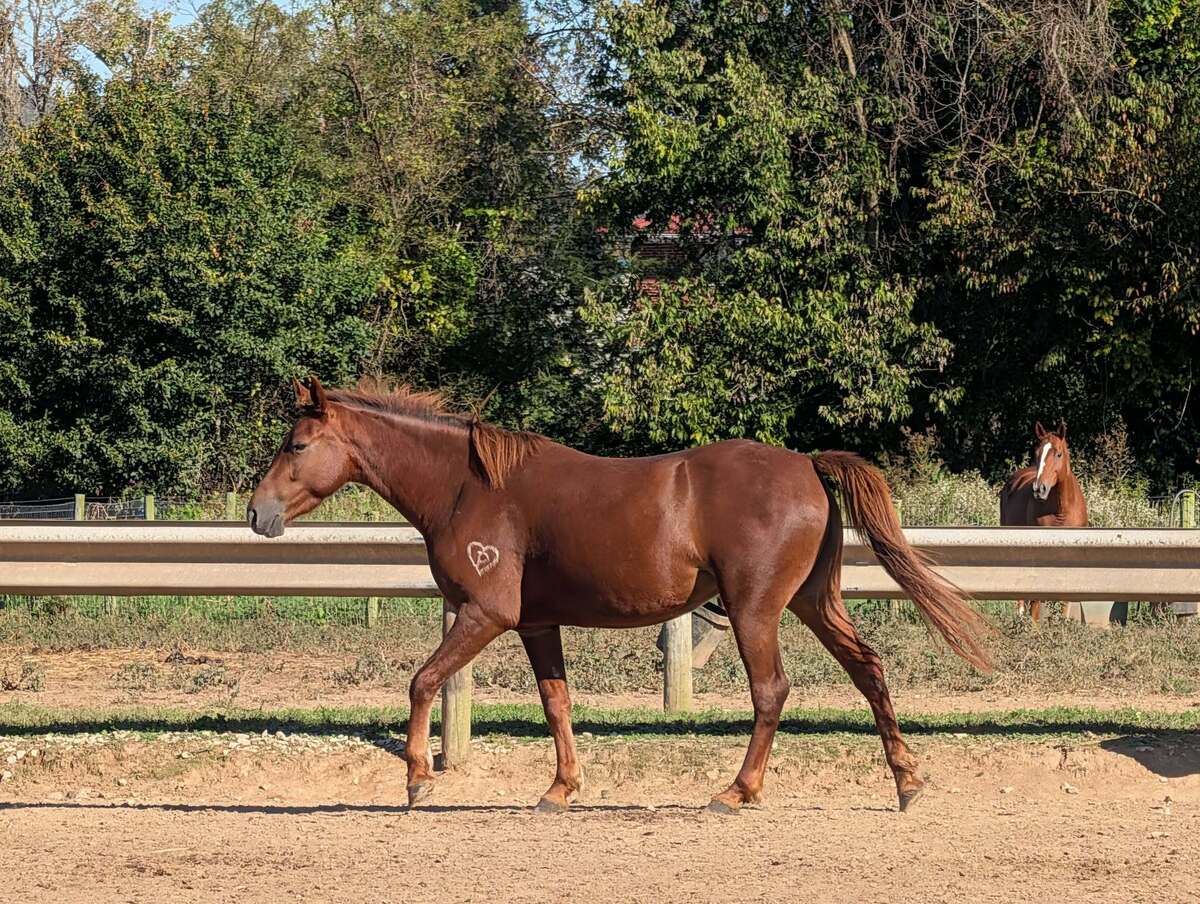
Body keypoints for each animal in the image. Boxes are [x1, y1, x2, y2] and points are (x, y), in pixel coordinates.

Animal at [249, 377, 990, 814]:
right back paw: (906, 782)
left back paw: (736, 792)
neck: (468, 487)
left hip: (754, 610)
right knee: (869, 669)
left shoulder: (485, 614)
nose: (258, 514)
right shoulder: (535, 624)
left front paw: (416, 779)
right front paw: (560, 789)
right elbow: (556, 704)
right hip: (813, 602)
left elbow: (423, 680)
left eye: (297, 444)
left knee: (772, 692)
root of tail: (807, 464)